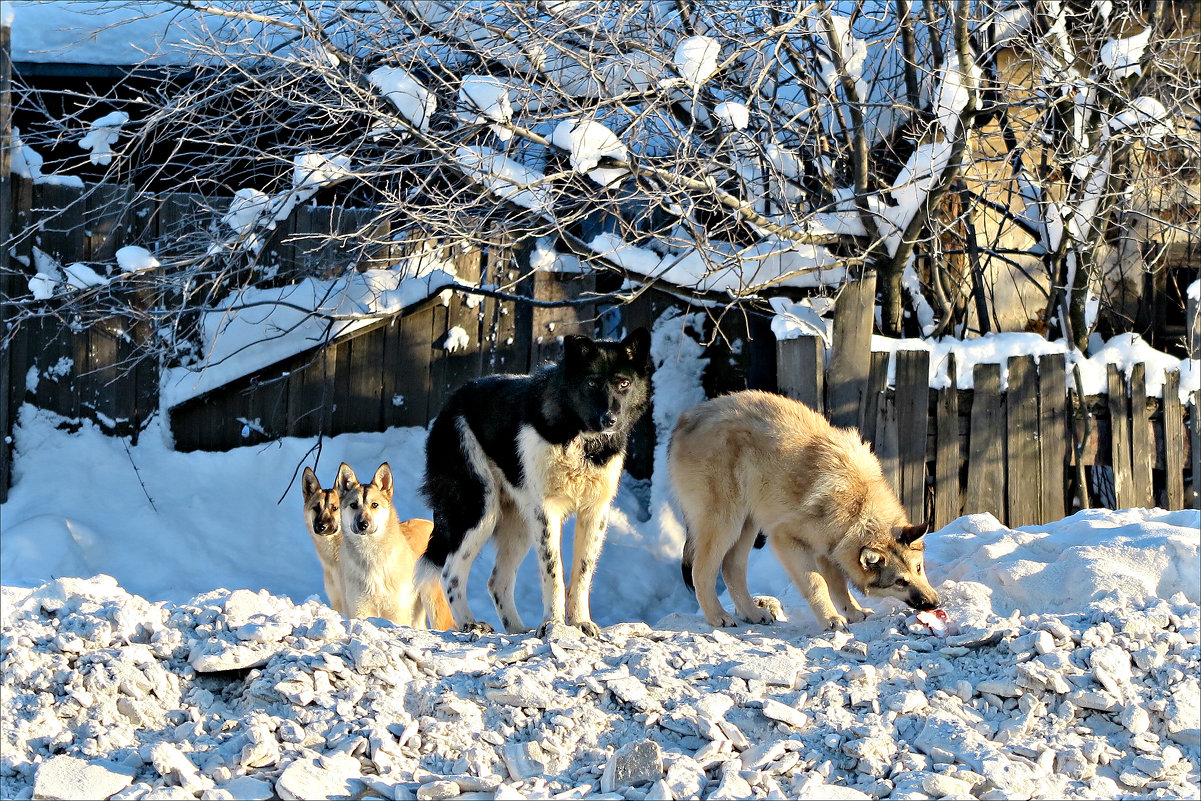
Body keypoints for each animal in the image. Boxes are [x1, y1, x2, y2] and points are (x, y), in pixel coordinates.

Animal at [336, 463, 456, 634]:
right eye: (353, 505)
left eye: (374, 504)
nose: (362, 524)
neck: (371, 556)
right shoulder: (359, 609)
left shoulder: (397, 612)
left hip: (434, 603)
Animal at [420, 329, 653, 634]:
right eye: (591, 382)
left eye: (624, 383)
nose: (609, 419)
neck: (579, 439)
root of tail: (452, 401)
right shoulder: (547, 511)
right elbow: (554, 574)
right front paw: (552, 624)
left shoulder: (594, 512)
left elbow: (582, 574)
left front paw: (580, 622)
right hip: (480, 510)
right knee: (451, 573)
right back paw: (470, 624)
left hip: (519, 523)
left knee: (497, 581)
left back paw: (518, 630)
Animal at [667, 389, 936, 634]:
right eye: (900, 581)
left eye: (919, 568)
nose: (935, 602)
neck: (858, 503)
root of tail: (686, 419)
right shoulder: (786, 539)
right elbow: (818, 584)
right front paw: (831, 619)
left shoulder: (829, 547)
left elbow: (839, 585)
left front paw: (854, 612)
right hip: (726, 525)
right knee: (701, 571)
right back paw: (718, 616)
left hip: (747, 525)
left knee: (731, 569)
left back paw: (753, 614)